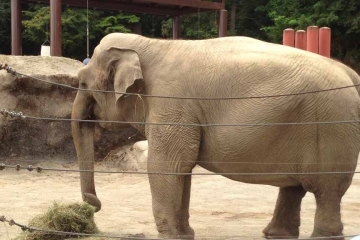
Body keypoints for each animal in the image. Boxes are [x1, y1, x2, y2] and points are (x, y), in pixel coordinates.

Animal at [71, 33, 360, 240]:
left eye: (83, 83)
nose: (93, 205)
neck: (151, 44)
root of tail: (351, 74)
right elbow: (182, 168)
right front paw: (185, 235)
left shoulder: (171, 102)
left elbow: (166, 166)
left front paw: (171, 236)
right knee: (295, 188)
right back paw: (276, 235)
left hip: (332, 127)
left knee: (326, 190)